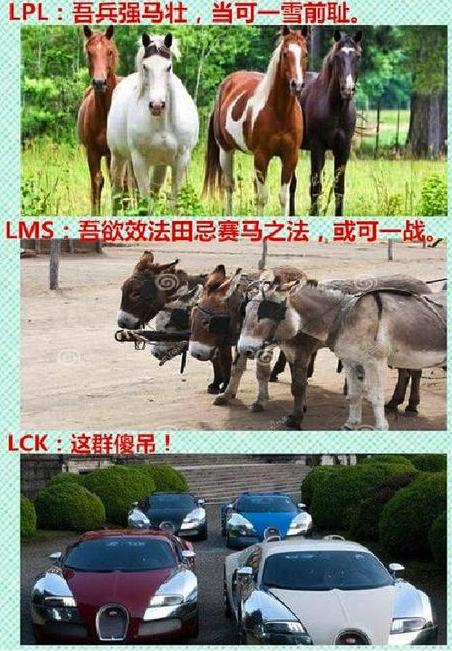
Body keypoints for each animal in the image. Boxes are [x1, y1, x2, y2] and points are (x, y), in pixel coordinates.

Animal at [107, 33, 199, 212]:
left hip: (160, 165)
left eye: (168, 67)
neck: (162, 124)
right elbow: (145, 202)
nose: (157, 105)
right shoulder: (139, 160)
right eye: (145, 66)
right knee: (117, 193)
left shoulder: (181, 160)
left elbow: (173, 203)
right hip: (118, 157)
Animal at [203, 26, 308, 217]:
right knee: (229, 186)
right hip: (226, 150)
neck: (280, 113)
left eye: (305, 53)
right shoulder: (261, 157)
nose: (297, 85)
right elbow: (262, 198)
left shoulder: (290, 157)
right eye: (285, 53)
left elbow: (284, 197)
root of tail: (225, 85)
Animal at [237, 273, 445, 430]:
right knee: (405, 373)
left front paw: (295, 419)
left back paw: (410, 406)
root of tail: (422, 283)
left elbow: (298, 386)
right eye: (245, 311)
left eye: (269, 312)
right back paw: (395, 403)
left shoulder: (302, 352)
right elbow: (264, 374)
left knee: (415, 373)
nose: (244, 349)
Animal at [289, 30, 362, 216]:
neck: (335, 109)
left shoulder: (343, 149)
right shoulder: (318, 147)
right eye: (337, 56)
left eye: (358, 56)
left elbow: (339, 189)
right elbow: (316, 188)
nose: (347, 89)